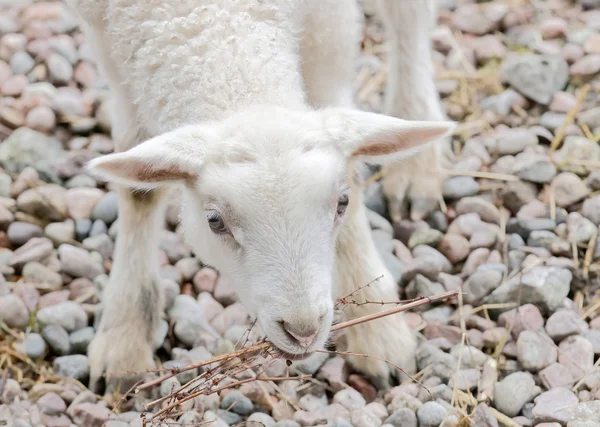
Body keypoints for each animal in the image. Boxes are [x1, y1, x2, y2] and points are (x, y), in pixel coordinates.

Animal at [65, 0, 452, 392]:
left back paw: (416, 160)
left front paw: (377, 326)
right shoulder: (110, 42)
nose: (302, 330)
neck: (218, 23)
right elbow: (138, 192)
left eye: (341, 203)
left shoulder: (329, 26)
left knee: (410, 18)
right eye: (214, 221)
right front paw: (124, 337)